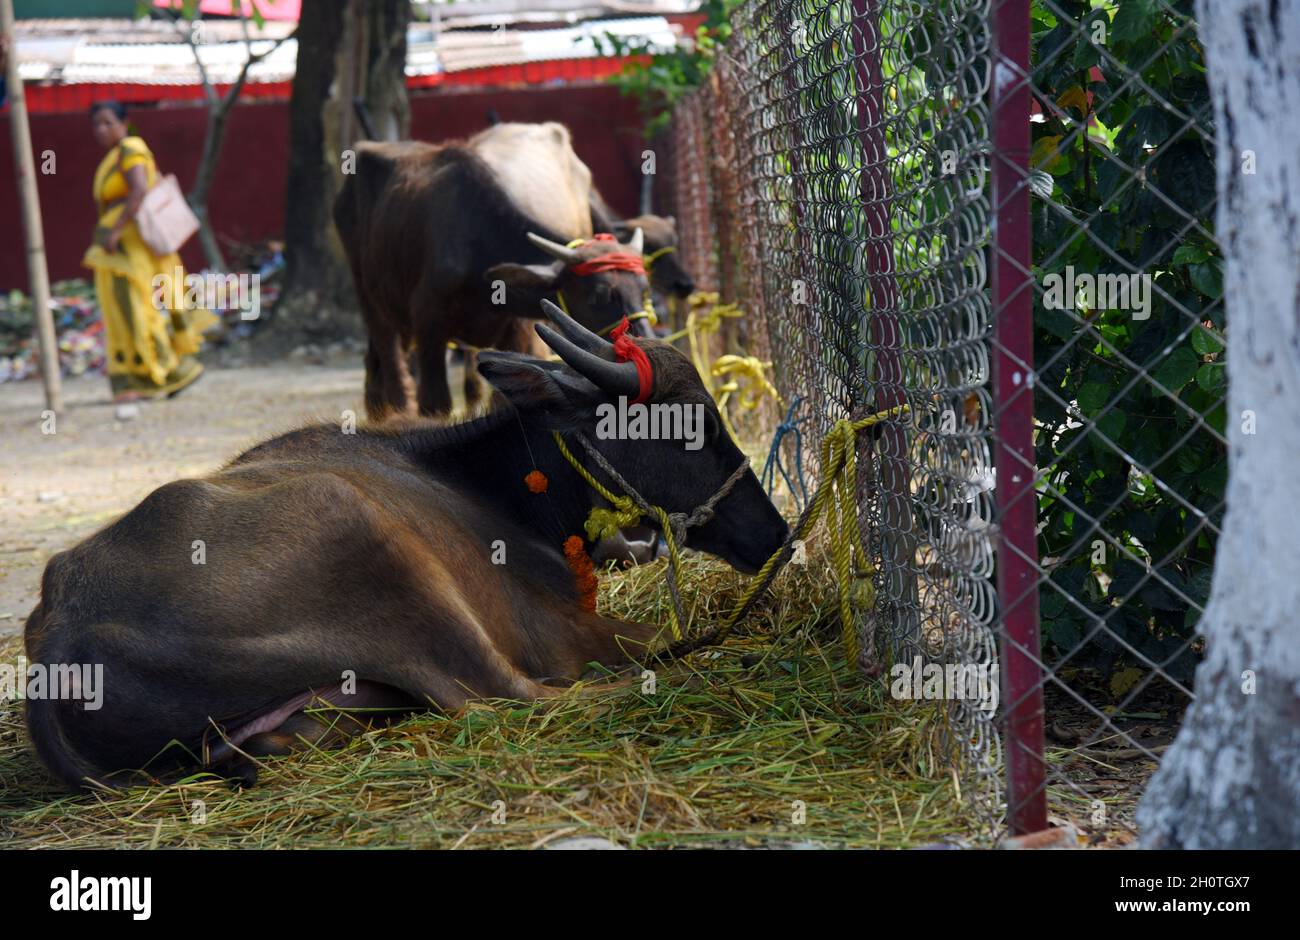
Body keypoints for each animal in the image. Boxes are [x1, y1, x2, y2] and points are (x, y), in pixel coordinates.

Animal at [25, 301, 785, 785]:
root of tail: (64, 624)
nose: (777, 534)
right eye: (691, 425)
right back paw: (705, 670)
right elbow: (653, 639)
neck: (494, 485)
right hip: (379, 548)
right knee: (507, 696)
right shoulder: (563, 632)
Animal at [335, 124, 650, 418]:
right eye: (598, 296)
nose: (641, 344)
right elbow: (436, 403)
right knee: (388, 349)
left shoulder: (518, 329)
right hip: (367, 291)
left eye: (644, 291)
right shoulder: (428, 320)